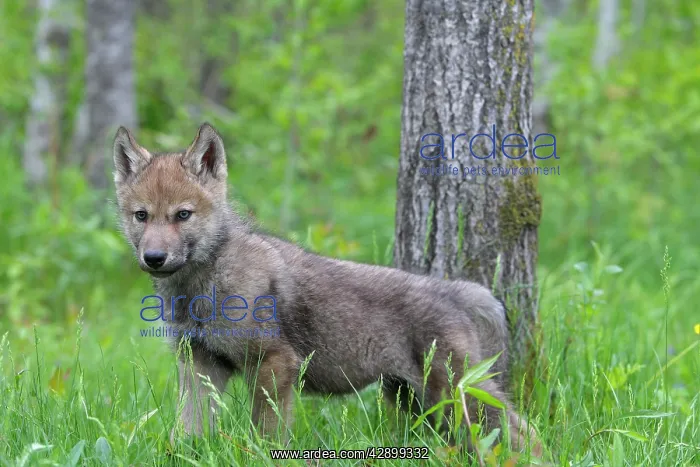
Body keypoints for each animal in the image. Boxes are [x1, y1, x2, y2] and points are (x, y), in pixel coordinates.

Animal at [113, 123, 541, 456]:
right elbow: (187, 433)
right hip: (417, 400)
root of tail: (454, 291)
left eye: (182, 215)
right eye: (142, 216)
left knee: (525, 434)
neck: (206, 280)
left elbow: (265, 437)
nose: (154, 257)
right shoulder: (199, 364)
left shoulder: (275, 364)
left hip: (456, 392)